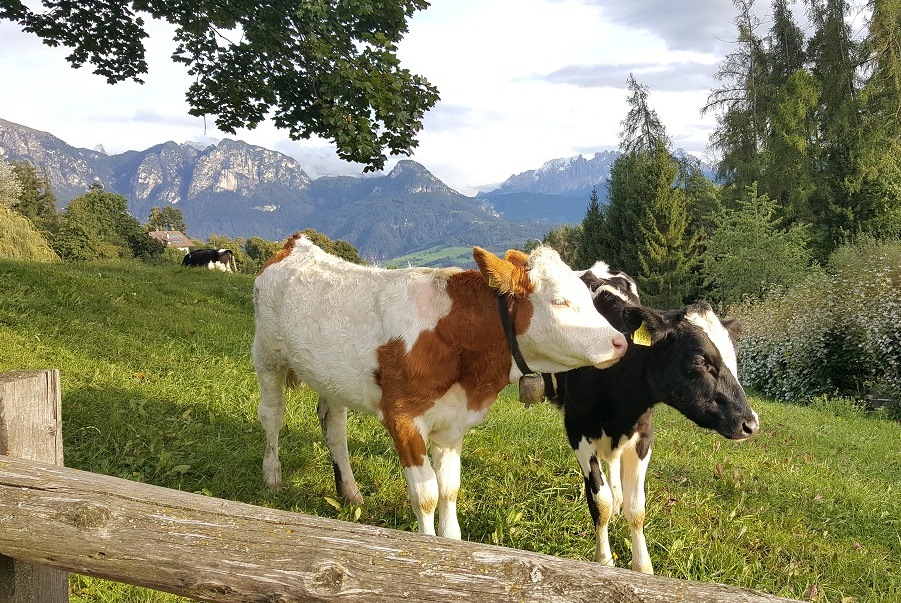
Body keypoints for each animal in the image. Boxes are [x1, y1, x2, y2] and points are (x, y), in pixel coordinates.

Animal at [252, 234, 628, 538]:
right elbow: (426, 495)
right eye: (560, 301)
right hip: (267, 355)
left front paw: (451, 542)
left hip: (331, 378)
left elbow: (449, 490)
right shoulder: (402, 418)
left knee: (334, 427)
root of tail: (297, 245)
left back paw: (350, 491)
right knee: (272, 415)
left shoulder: (452, 424)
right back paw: (272, 476)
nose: (620, 342)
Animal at [543, 261, 760, 574]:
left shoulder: (643, 434)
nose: (750, 423)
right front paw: (604, 561)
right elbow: (600, 502)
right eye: (700, 361)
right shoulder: (577, 429)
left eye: (735, 359)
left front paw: (643, 567)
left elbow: (637, 508)